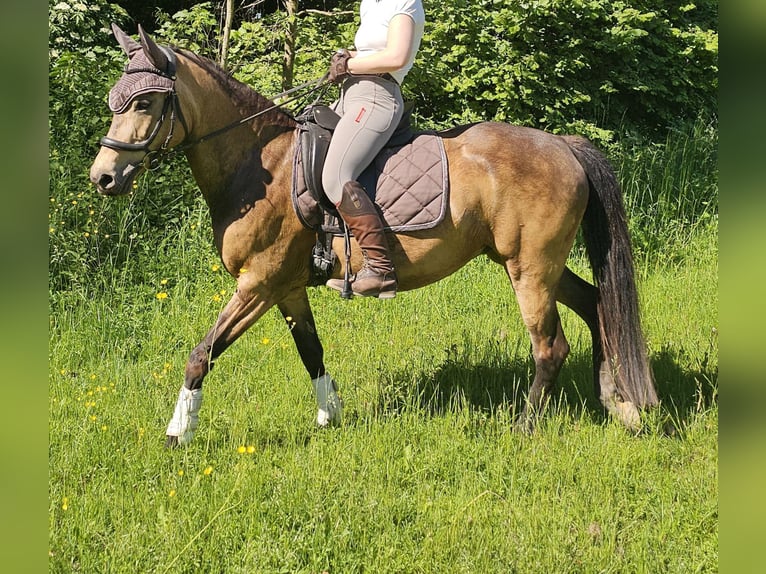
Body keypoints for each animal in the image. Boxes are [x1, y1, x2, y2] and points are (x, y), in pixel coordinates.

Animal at [89, 24, 658, 447]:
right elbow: (312, 351)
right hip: (533, 263)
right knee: (595, 305)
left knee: (551, 346)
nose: (103, 178)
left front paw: (177, 434)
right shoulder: (287, 288)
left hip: (531, 269)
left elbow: (201, 353)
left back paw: (525, 428)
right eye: (115, 100)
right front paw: (331, 417)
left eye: (143, 104)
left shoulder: (258, 283)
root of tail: (561, 145)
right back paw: (619, 405)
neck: (260, 165)